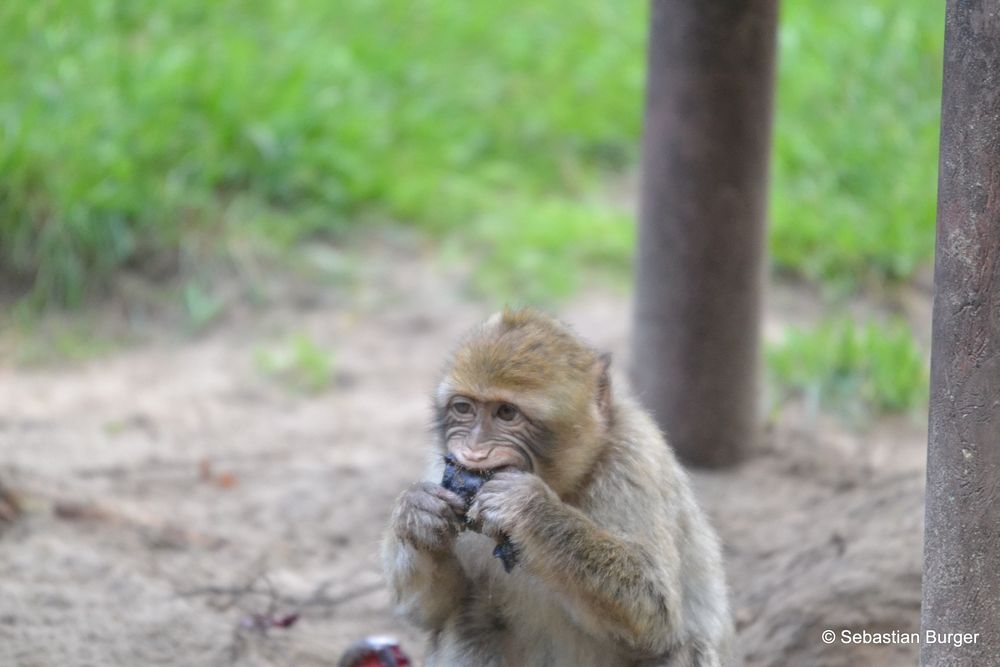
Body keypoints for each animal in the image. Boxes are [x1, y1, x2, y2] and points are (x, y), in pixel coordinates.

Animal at [382, 310, 736, 667]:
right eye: (464, 408)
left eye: (506, 413)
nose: (474, 453)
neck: (565, 486)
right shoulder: (440, 464)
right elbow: (430, 610)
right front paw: (417, 512)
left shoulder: (636, 461)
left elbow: (655, 612)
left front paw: (527, 509)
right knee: (469, 618)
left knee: (682, 648)